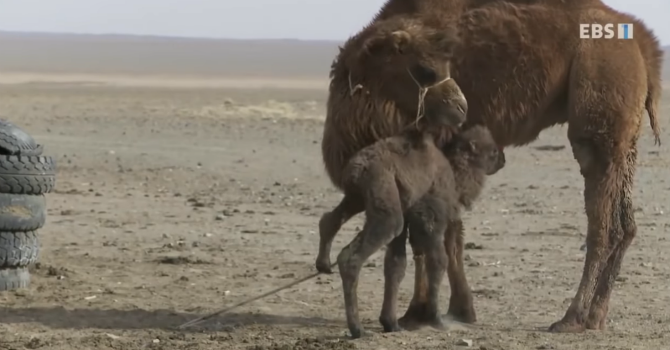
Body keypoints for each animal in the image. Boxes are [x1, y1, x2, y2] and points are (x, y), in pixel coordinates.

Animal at [322, 124, 506, 338]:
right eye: (492, 151)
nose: (503, 159)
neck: (454, 173)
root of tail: (358, 166)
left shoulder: (407, 218)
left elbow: (396, 266)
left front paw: (391, 323)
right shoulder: (430, 216)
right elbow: (438, 261)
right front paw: (436, 319)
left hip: (359, 195)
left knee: (332, 218)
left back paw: (323, 263)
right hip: (382, 192)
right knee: (354, 254)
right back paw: (358, 329)